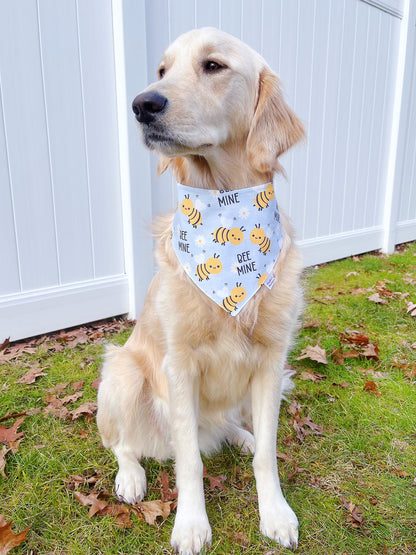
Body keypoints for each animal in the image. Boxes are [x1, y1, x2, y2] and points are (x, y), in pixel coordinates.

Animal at [98, 27, 306, 555]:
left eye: (213, 66)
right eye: (162, 70)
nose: (142, 104)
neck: (226, 204)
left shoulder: (271, 359)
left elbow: (268, 454)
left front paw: (275, 512)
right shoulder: (180, 364)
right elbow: (189, 460)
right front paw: (191, 524)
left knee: (229, 427)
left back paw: (239, 435)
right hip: (123, 374)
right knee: (124, 445)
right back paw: (131, 477)